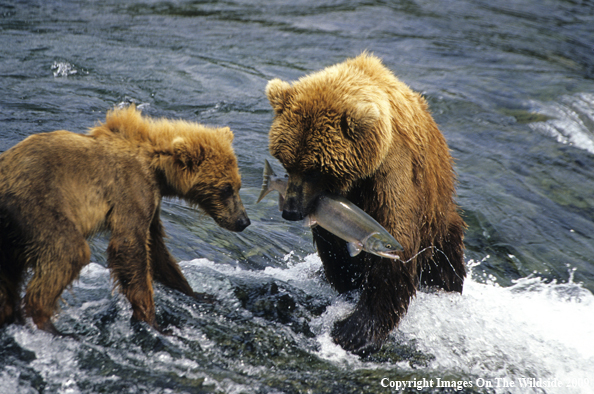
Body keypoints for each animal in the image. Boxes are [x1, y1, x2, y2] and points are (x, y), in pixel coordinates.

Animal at [0, 107, 250, 336]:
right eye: (226, 188)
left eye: (238, 185)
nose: (243, 221)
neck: (158, 168)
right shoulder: (132, 188)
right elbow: (130, 246)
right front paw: (153, 321)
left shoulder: (152, 202)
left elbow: (157, 249)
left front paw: (199, 294)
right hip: (38, 205)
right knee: (68, 252)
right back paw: (50, 326)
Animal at [266, 53, 464, 358]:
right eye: (287, 163)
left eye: (315, 170)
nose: (291, 211)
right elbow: (334, 247)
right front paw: (348, 284)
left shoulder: (393, 173)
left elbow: (397, 246)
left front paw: (353, 330)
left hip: (439, 221)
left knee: (444, 266)